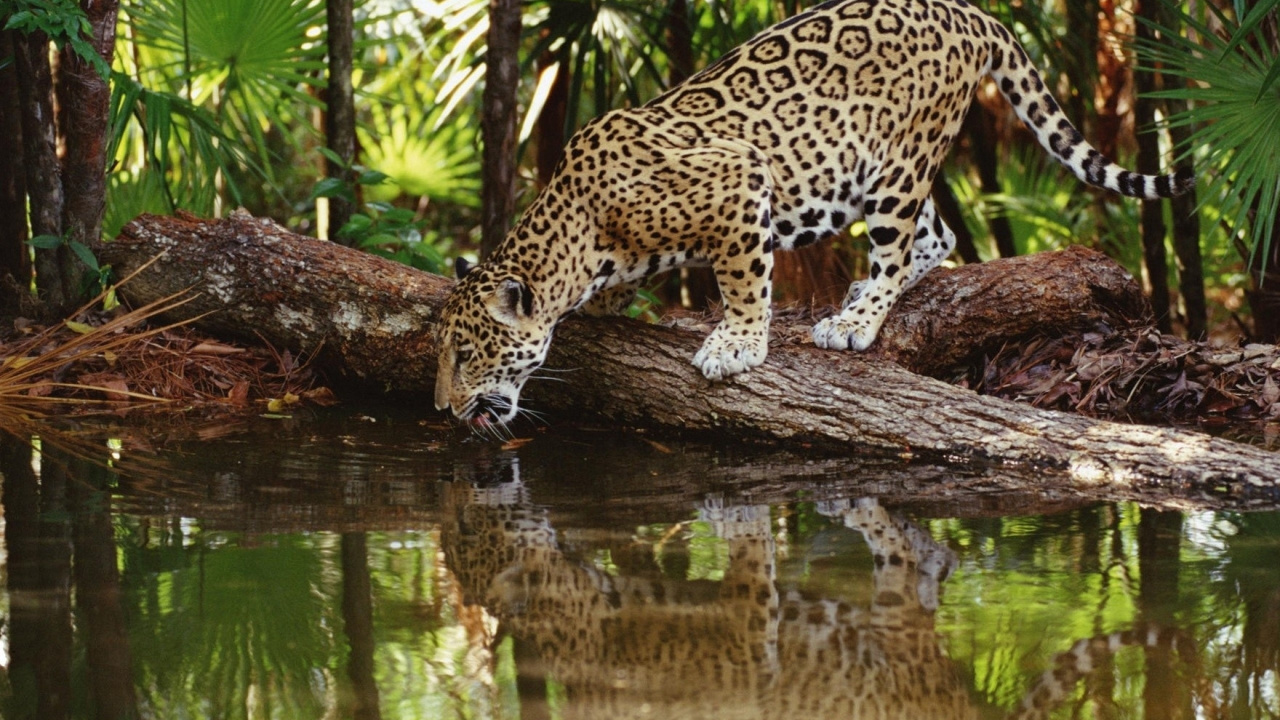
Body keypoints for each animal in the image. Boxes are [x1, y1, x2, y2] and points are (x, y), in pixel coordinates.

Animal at [433, 0, 1194, 426]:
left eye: (467, 354)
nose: (441, 408)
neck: (578, 230)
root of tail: (967, 11)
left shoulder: (741, 180)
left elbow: (743, 280)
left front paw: (736, 344)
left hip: (897, 165)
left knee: (899, 244)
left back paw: (856, 320)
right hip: (867, 173)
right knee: (940, 231)